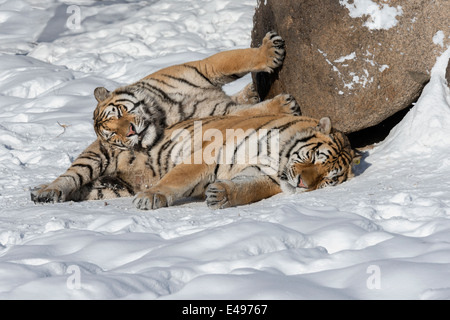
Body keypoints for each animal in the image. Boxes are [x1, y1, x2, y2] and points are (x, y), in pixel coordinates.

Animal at [30, 31, 358, 208]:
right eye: (113, 133)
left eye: (120, 113)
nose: (131, 133)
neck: (164, 112)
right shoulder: (209, 138)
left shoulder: (205, 74)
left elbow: (236, 61)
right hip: (94, 158)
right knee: (70, 177)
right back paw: (46, 191)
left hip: (113, 187)